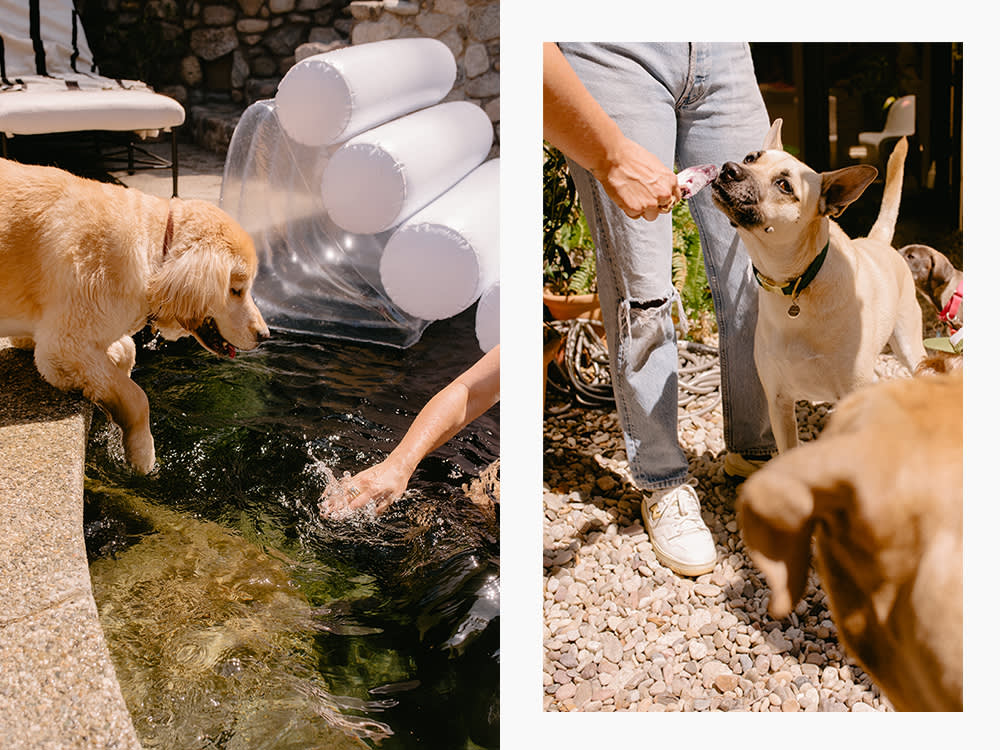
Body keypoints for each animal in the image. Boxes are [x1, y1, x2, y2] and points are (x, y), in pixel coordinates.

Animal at [0, 159, 270, 476]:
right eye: (236, 290)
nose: (265, 336)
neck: (157, 246)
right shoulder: (61, 346)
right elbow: (137, 397)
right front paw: (142, 455)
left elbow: (126, 352)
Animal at [712, 121, 920, 452]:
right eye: (750, 158)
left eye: (785, 186)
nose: (729, 169)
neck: (796, 286)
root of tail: (876, 241)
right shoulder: (779, 403)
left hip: (909, 346)